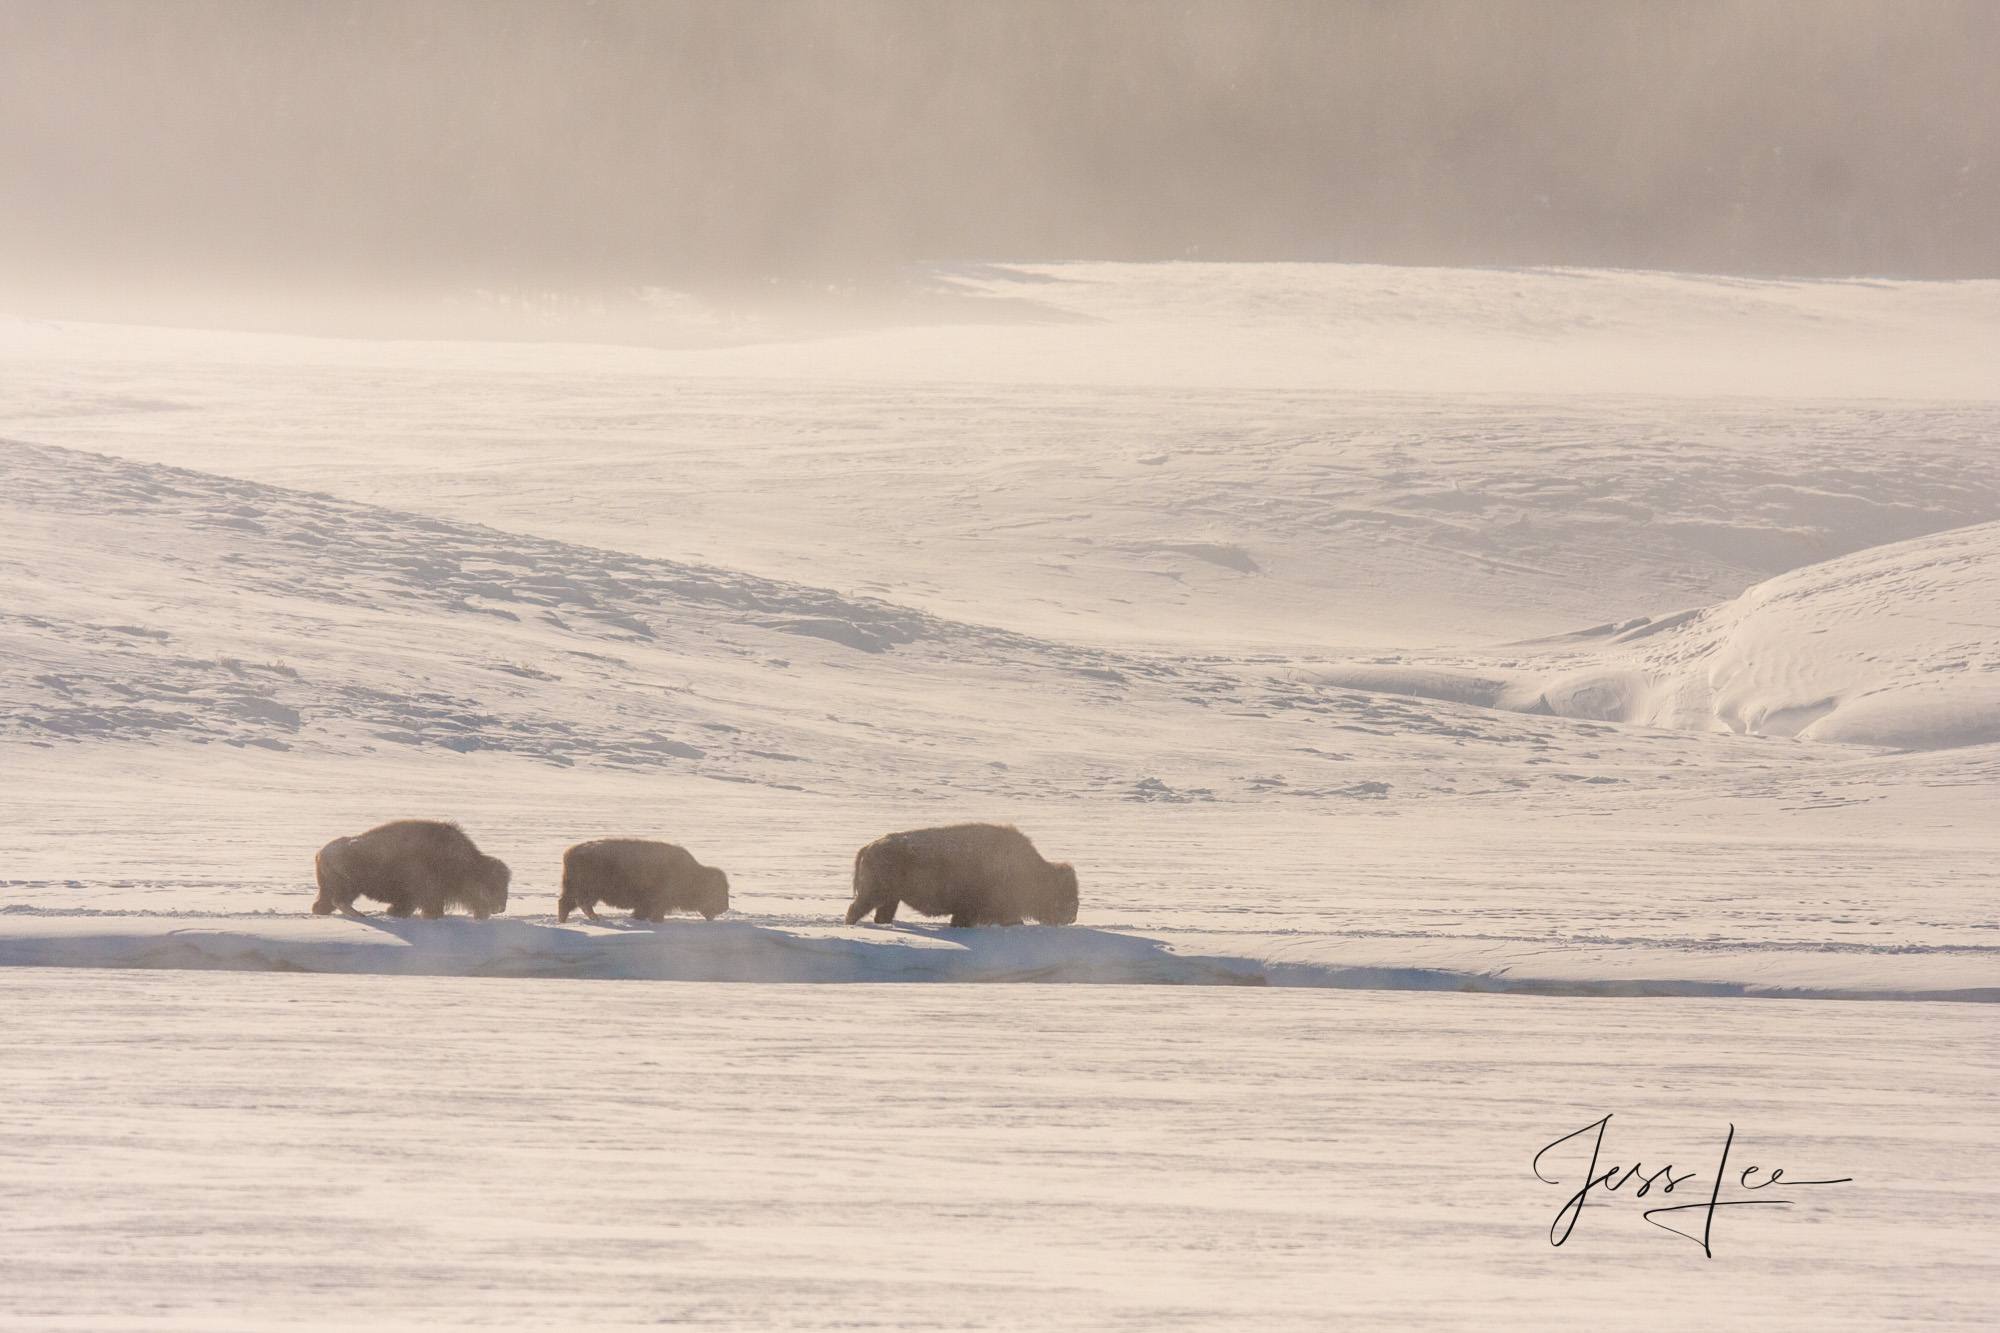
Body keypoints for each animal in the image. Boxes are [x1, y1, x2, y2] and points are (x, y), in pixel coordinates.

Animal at [312, 816, 512, 920]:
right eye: (493, 885)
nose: (501, 908)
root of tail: (321, 853)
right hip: (348, 887)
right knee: (340, 901)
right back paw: (361, 916)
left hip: (333, 889)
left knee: (324, 904)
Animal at [560, 836, 732, 920]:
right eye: (716, 891)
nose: (725, 907)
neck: (693, 874)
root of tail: (569, 853)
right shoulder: (655, 903)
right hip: (589, 891)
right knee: (582, 904)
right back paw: (595, 919)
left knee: (565, 904)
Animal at [844, 820, 1080, 924]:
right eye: (1063, 891)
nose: (1072, 916)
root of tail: (869, 847)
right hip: (874, 895)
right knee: (855, 910)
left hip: (890, 899)